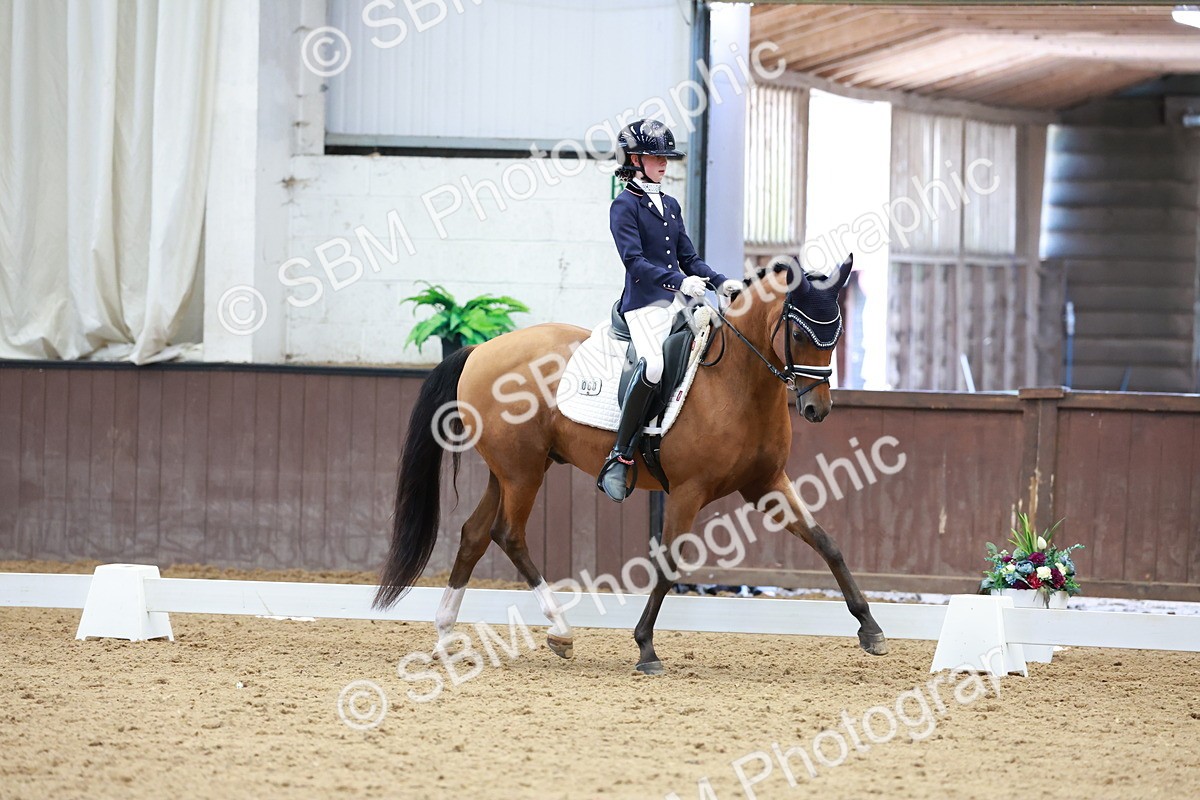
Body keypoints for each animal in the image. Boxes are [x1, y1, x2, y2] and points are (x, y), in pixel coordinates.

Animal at [373, 255, 888, 674]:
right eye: (799, 333)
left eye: (838, 333)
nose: (817, 409)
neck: (738, 383)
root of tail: (481, 349)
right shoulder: (688, 491)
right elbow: (669, 564)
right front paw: (645, 648)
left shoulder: (766, 484)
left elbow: (827, 543)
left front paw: (871, 628)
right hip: (523, 472)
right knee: (508, 535)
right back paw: (560, 631)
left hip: (512, 470)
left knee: (475, 534)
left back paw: (446, 634)